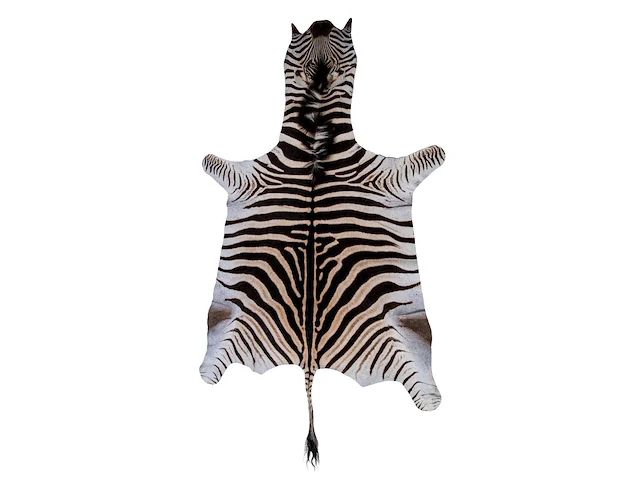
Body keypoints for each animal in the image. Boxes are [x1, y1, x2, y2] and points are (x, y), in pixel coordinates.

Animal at [200, 19, 445, 466]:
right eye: (298, 41)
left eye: (342, 40)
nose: (320, 22)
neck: (315, 132)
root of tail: (309, 359)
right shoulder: (246, 177)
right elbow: (214, 162)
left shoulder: (388, 175)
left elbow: (427, 156)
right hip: (226, 322)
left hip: (403, 335)